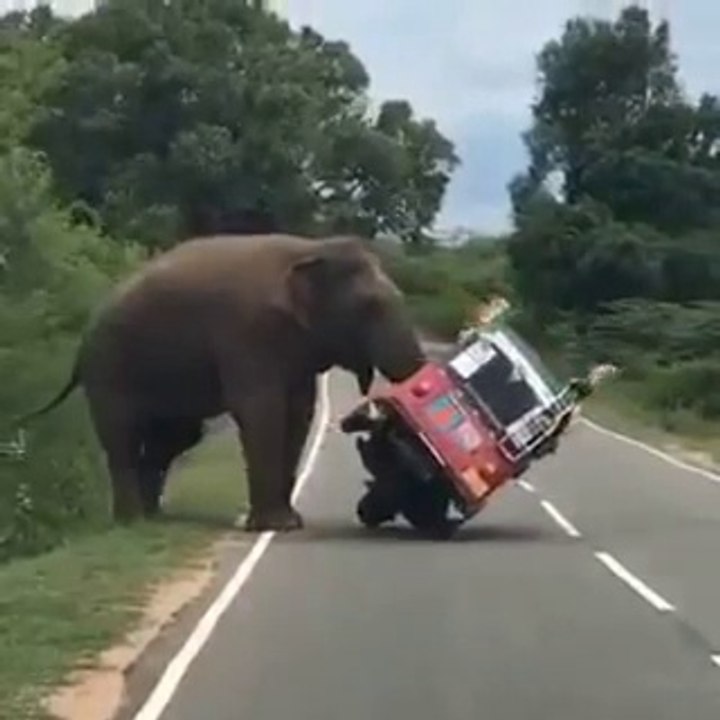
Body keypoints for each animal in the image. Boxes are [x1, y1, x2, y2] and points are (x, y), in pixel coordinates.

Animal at [19, 233, 426, 532]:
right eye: (370, 308)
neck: (310, 248)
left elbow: (299, 413)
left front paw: (290, 523)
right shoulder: (246, 333)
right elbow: (262, 411)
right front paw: (275, 526)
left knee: (175, 437)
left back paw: (154, 517)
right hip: (109, 368)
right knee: (122, 437)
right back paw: (131, 522)